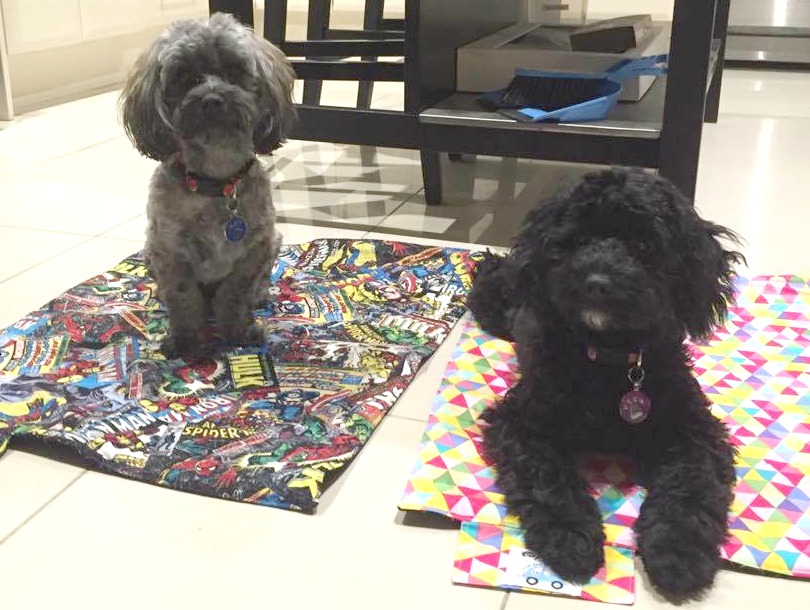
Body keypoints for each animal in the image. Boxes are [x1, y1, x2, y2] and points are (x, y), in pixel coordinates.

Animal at [118, 11, 296, 356]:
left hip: (275, 243)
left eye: (234, 72)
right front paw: (185, 340)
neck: (216, 182)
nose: (212, 100)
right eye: (185, 77)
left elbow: (234, 296)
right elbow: (184, 299)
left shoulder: (253, 251)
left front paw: (237, 331)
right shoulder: (170, 253)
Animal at [468, 169, 744, 596]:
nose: (597, 282)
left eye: (644, 245)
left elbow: (690, 486)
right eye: (578, 240)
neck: (609, 360)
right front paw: (572, 539)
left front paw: (679, 555)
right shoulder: (522, 424)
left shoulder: (695, 429)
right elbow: (549, 478)